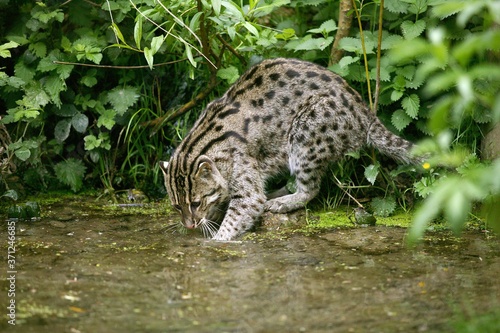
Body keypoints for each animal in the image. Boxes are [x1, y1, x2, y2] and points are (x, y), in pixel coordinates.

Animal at [160, 57, 418, 239]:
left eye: (195, 203)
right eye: (176, 206)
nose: (189, 225)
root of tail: (365, 113)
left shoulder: (245, 176)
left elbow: (242, 211)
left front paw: (216, 241)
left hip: (307, 135)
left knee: (309, 189)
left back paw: (282, 201)